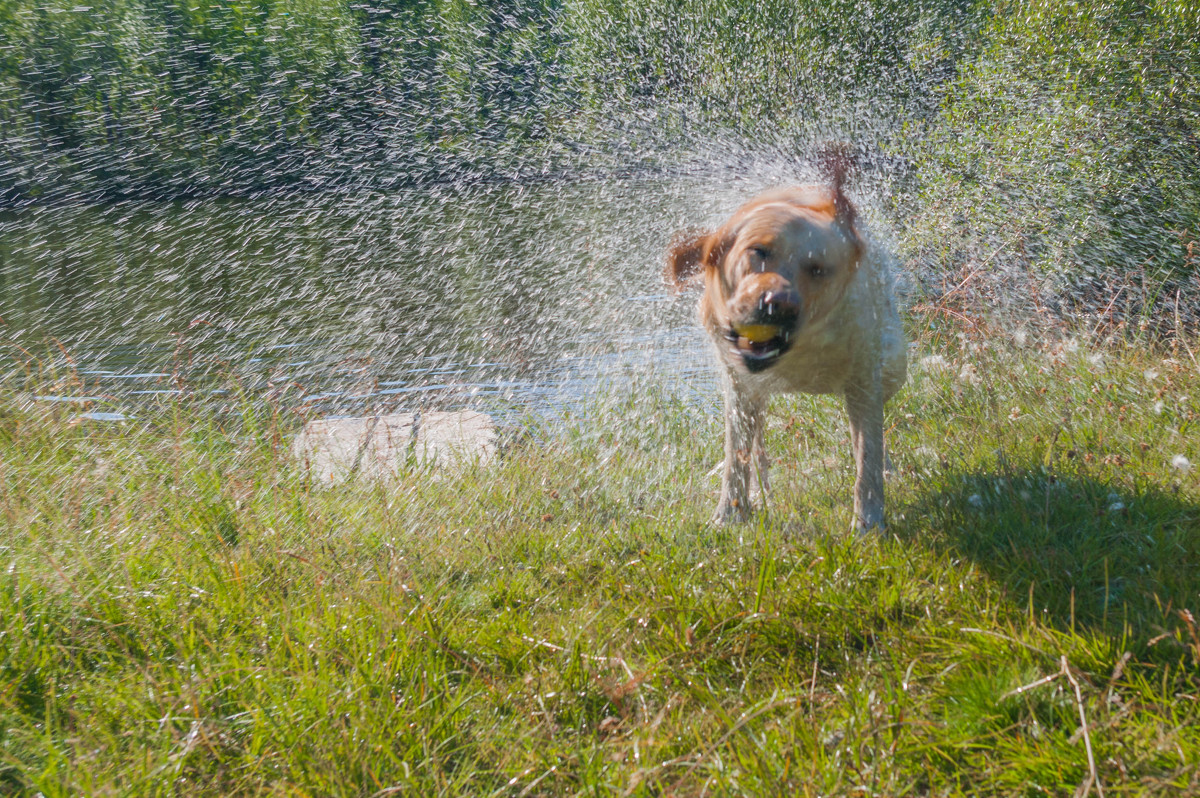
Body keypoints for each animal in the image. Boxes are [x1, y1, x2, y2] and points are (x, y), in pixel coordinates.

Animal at [662, 153, 902, 532]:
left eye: (818, 269)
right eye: (759, 250)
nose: (779, 304)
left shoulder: (864, 377)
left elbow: (868, 455)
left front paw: (868, 521)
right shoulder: (739, 386)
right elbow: (737, 454)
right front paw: (730, 513)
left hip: (893, 365)